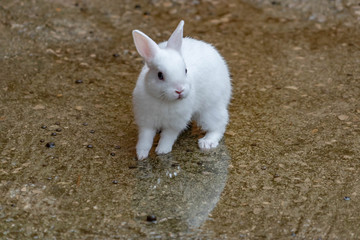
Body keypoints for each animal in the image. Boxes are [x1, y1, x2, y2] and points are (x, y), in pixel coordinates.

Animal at [132, 20, 231, 159]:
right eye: (160, 75)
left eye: (185, 70)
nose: (179, 90)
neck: (164, 100)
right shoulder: (146, 120)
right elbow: (145, 138)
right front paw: (141, 154)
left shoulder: (175, 123)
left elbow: (168, 137)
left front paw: (162, 150)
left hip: (211, 108)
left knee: (219, 125)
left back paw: (207, 142)